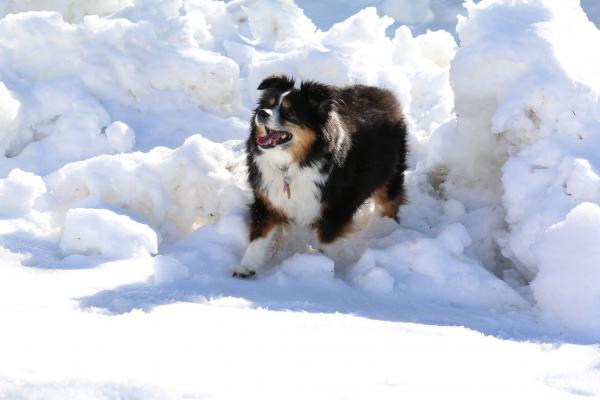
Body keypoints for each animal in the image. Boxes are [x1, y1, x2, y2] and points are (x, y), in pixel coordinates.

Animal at [230, 74, 408, 278]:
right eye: (269, 104)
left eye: (290, 111)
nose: (262, 113)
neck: (293, 164)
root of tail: (384, 92)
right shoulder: (268, 201)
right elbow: (258, 238)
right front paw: (246, 267)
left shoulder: (335, 209)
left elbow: (325, 244)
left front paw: (325, 268)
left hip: (390, 177)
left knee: (390, 202)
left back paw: (389, 228)